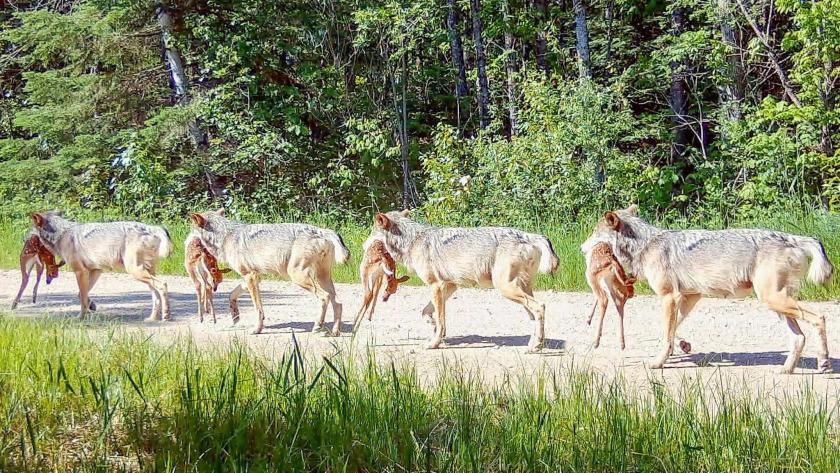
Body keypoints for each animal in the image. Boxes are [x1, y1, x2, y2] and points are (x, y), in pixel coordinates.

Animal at [29, 211, 174, 318]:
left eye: (31, 232)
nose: (25, 238)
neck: (61, 234)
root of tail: (154, 228)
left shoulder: (80, 272)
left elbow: (82, 297)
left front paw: (81, 317)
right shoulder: (96, 271)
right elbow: (81, 294)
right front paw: (91, 306)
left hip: (136, 272)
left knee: (163, 285)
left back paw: (166, 315)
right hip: (146, 274)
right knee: (156, 297)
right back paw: (152, 319)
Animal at [189, 209, 350, 336]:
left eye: (191, 230)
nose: (187, 240)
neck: (225, 236)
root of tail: (323, 231)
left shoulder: (250, 277)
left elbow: (258, 309)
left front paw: (257, 329)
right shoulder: (253, 277)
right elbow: (232, 295)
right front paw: (235, 315)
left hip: (299, 277)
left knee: (325, 297)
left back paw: (318, 326)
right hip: (322, 278)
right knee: (338, 303)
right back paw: (335, 332)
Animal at [366, 211, 556, 350]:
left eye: (371, 233)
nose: (362, 245)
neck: (412, 240)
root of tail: (532, 236)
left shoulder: (436, 286)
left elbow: (441, 321)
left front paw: (434, 343)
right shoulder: (450, 286)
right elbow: (427, 312)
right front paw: (432, 326)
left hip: (506, 289)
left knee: (541, 307)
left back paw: (535, 346)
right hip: (520, 291)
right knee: (534, 315)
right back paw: (534, 343)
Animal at [584, 203, 832, 372]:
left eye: (594, 233)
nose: (581, 248)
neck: (645, 245)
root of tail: (793, 237)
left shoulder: (669, 297)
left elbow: (666, 334)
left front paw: (658, 362)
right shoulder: (689, 297)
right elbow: (670, 331)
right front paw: (679, 349)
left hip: (773, 300)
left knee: (820, 317)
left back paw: (824, 361)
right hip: (776, 305)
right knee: (799, 338)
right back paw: (787, 370)